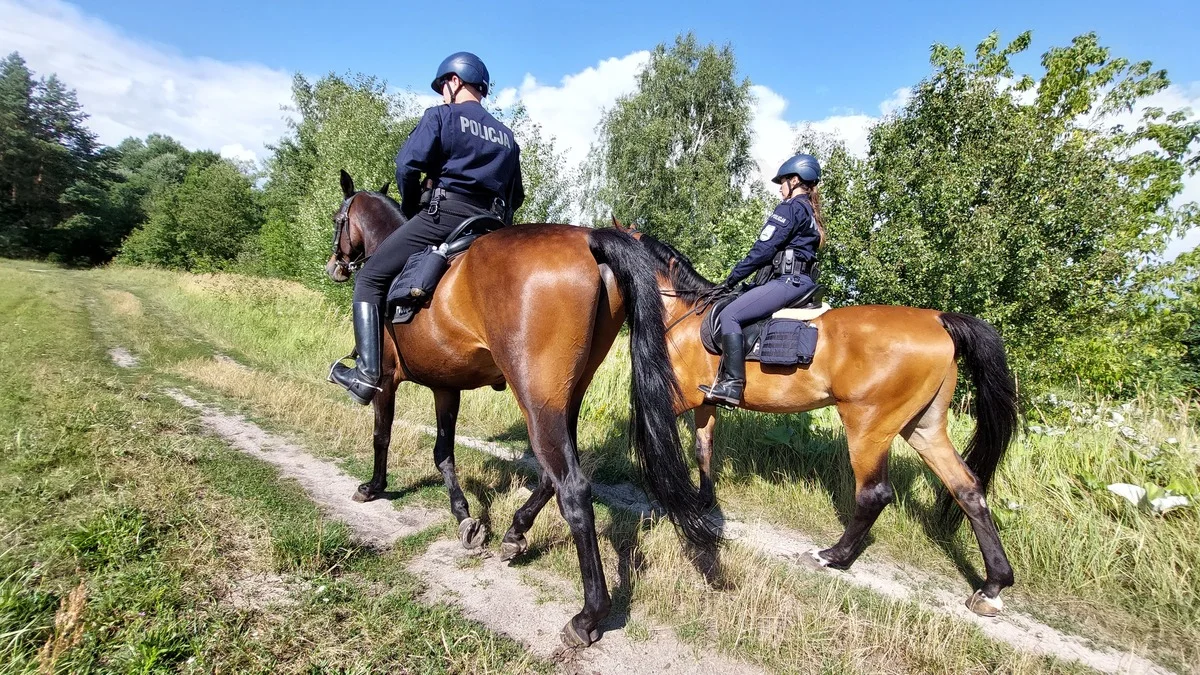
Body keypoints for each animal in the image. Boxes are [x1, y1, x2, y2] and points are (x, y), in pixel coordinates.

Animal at [324, 170, 715, 643]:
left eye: (339, 219)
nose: (335, 266)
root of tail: (590, 238)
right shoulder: (445, 387)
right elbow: (443, 452)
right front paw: (465, 518)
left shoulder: (384, 379)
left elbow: (382, 435)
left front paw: (374, 486)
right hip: (560, 397)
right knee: (552, 473)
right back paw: (514, 532)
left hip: (535, 397)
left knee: (572, 487)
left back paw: (588, 615)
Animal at [614, 220, 1017, 614]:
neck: (685, 315)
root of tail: (937, 320)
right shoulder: (704, 401)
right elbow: (704, 449)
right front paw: (702, 501)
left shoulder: (675, 398)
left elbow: (657, 435)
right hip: (923, 427)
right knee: (967, 488)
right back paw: (992, 587)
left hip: (868, 426)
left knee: (874, 493)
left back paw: (832, 557)